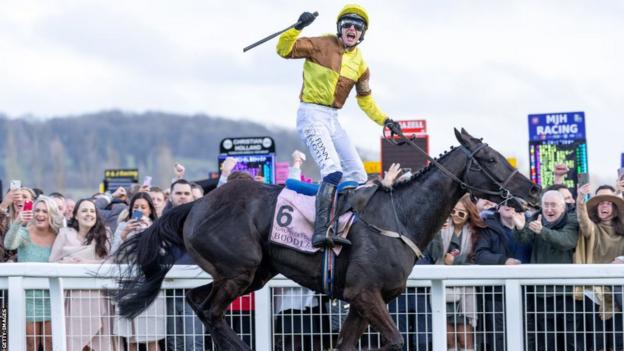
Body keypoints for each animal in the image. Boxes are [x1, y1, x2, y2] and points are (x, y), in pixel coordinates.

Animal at [113, 130, 540, 351]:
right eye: (490, 159)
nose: (534, 192)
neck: (399, 216)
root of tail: (196, 204)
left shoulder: (363, 300)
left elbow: (347, 345)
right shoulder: (365, 294)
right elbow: (396, 341)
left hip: (249, 274)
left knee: (196, 302)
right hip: (239, 269)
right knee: (212, 312)